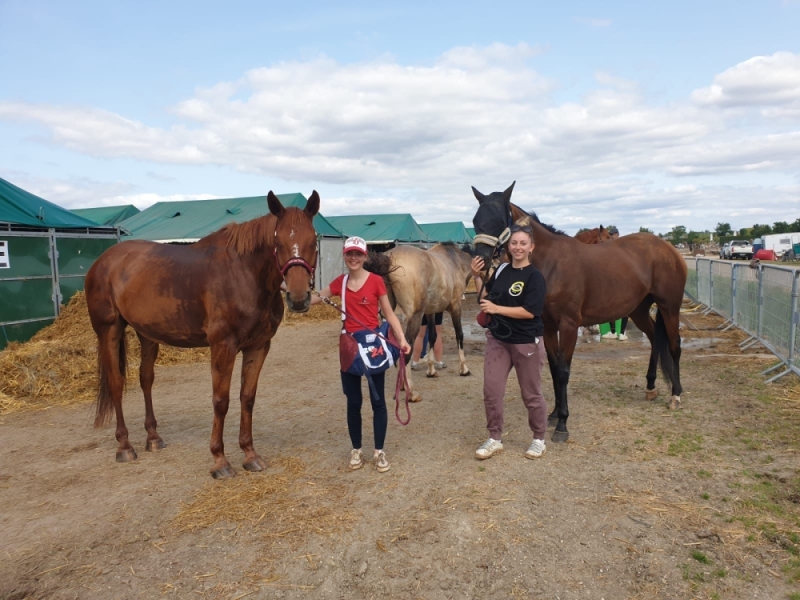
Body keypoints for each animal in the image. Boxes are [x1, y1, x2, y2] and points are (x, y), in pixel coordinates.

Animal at [86, 192, 320, 478]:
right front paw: (220, 460)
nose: (298, 299)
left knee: (146, 379)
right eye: (278, 242)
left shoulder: (258, 346)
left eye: (313, 241)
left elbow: (247, 397)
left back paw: (153, 437)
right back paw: (125, 446)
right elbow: (221, 401)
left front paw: (250, 454)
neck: (244, 273)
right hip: (109, 330)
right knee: (117, 383)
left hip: (147, 334)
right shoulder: (223, 346)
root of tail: (103, 261)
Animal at [368, 244, 476, 404]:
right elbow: (459, 335)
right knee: (406, 350)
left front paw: (431, 370)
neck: (455, 260)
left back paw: (402, 385)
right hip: (415, 317)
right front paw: (464, 369)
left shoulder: (430, 312)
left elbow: (432, 336)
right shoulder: (456, 307)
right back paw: (411, 393)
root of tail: (389, 259)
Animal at [468, 182, 688, 440]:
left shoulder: (569, 325)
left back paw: (676, 394)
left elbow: (564, 371)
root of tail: (669, 249)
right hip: (639, 310)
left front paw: (562, 424)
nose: (480, 261)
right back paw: (651, 387)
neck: (551, 265)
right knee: (655, 339)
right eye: (475, 220)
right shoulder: (548, 326)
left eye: (498, 220)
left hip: (669, 306)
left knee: (674, 345)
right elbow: (554, 369)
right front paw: (554, 414)